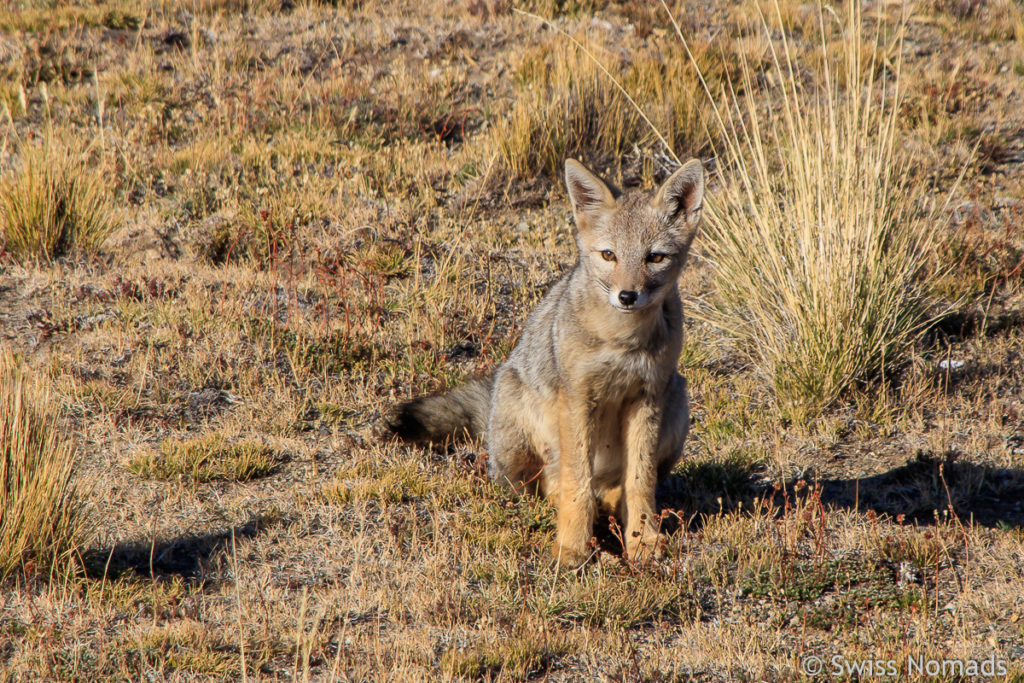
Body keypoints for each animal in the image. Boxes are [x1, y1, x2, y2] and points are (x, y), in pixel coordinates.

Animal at [389, 156, 704, 565]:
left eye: (655, 258)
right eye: (609, 255)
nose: (627, 296)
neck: (623, 340)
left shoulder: (647, 397)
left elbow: (640, 483)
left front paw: (643, 542)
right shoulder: (578, 397)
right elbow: (576, 485)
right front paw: (572, 548)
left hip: (677, 402)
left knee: (615, 490)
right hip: (518, 444)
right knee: (548, 489)